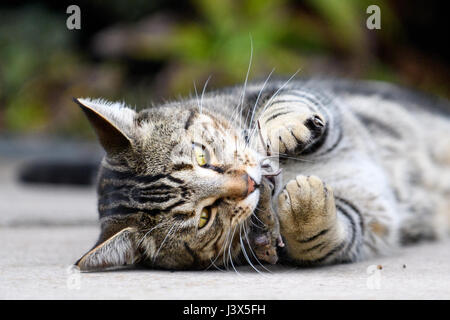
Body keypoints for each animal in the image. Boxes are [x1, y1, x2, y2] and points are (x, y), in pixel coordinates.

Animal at [74, 77, 450, 270]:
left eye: (201, 156)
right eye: (204, 218)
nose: (251, 182)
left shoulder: (307, 98)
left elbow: (284, 104)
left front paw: (282, 130)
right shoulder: (355, 220)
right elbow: (323, 235)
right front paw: (305, 206)